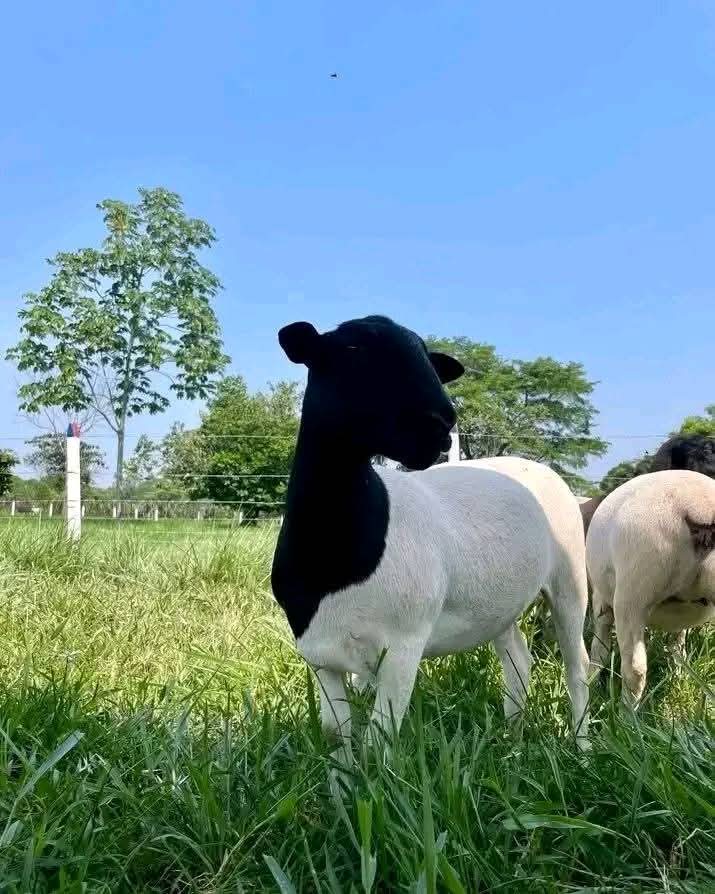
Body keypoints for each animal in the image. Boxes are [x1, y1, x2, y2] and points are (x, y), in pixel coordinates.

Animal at [271, 315, 591, 766]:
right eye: (352, 350)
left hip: (569, 578)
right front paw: (341, 784)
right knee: (518, 659)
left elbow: (380, 741)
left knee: (577, 665)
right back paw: (511, 741)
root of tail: (531, 465)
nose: (441, 422)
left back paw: (583, 748)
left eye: (428, 359)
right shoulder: (320, 655)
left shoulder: (403, 647)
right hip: (500, 603)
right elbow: (338, 737)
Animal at [586, 470, 715, 704]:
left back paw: (626, 712)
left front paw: (591, 682)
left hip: (632, 592)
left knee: (634, 669)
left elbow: (599, 648)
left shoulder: (602, 599)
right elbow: (678, 645)